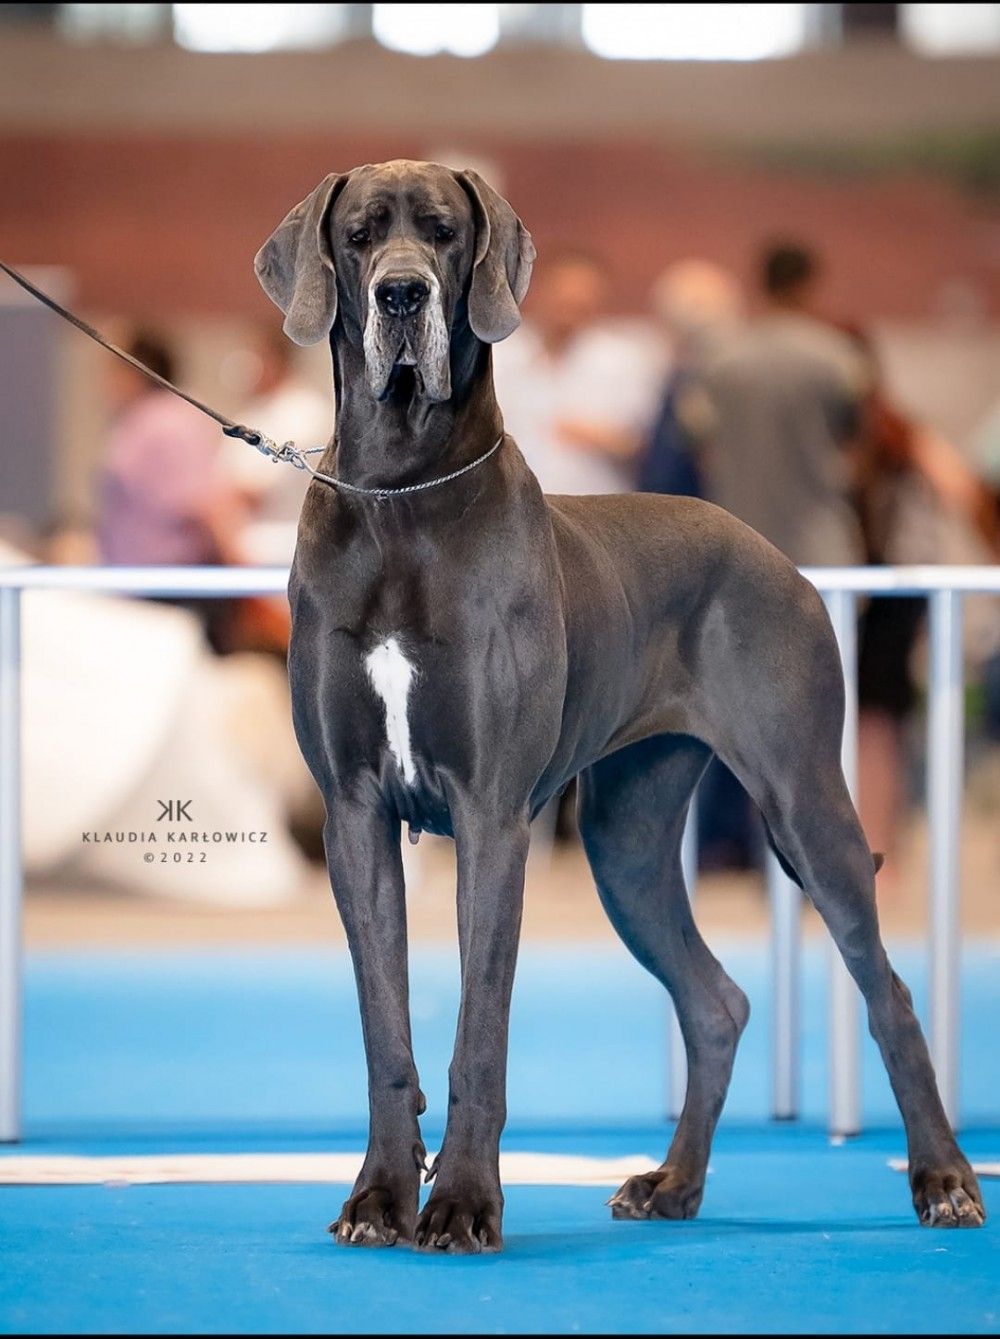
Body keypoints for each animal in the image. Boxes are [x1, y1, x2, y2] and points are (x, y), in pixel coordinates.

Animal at [254, 160, 985, 1253]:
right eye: (358, 235)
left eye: (444, 233)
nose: (401, 295)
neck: (399, 493)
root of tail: (775, 554)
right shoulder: (354, 811)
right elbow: (387, 1028)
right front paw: (379, 1196)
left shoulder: (490, 814)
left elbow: (479, 1029)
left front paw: (461, 1202)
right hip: (628, 838)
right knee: (716, 1000)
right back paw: (672, 1184)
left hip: (803, 800)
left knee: (886, 990)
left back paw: (942, 1179)